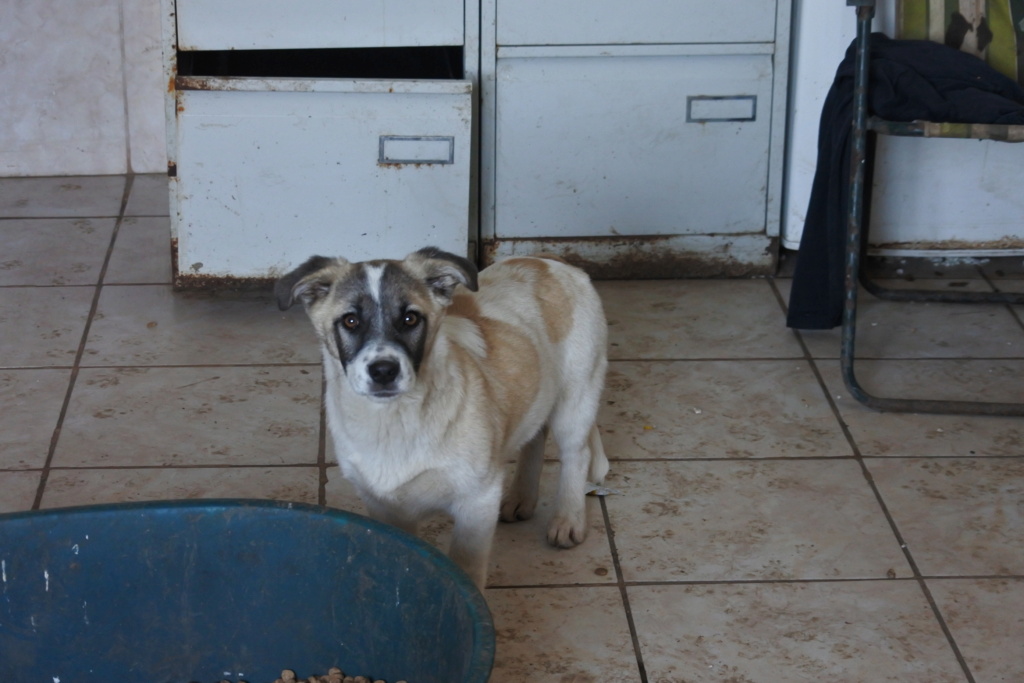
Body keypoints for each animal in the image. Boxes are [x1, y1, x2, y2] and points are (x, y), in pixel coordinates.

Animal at [274, 245, 606, 589]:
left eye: (410, 318)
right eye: (350, 321)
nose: (384, 371)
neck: (394, 421)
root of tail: (548, 259)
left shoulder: (478, 499)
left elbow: (466, 565)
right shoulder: (386, 508)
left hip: (576, 397)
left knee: (577, 454)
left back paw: (568, 518)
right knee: (535, 437)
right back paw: (520, 498)